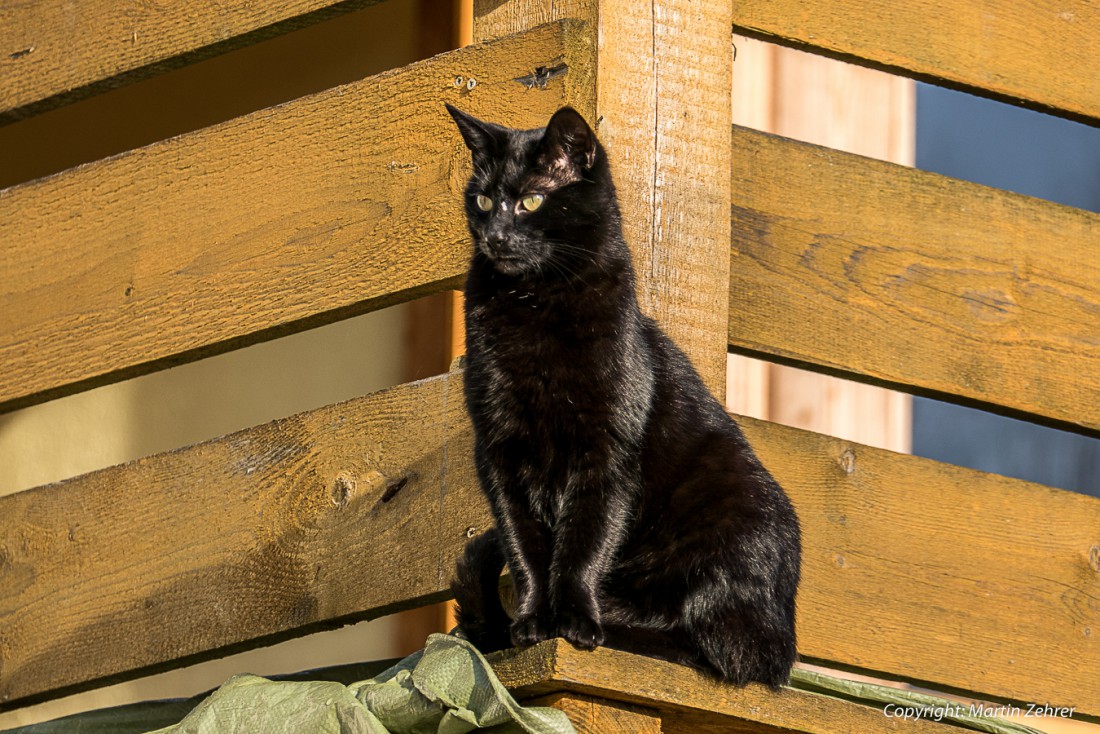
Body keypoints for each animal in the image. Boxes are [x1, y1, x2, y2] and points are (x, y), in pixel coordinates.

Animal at [444, 103, 800, 691]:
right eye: (484, 201)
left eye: (532, 200)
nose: (494, 236)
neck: (535, 306)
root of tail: (787, 640)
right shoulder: (497, 449)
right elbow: (524, 545)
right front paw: (532, 623)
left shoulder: (608, 450)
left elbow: (585, 540)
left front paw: (574, 624)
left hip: (737, 512)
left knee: (718, 648)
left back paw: (616, 629)